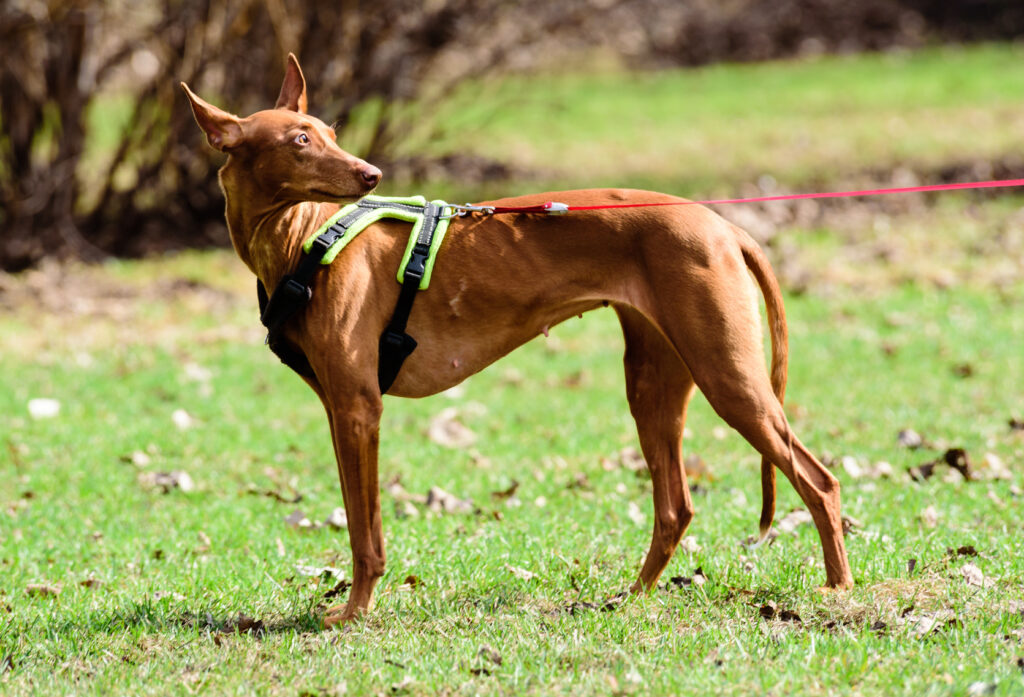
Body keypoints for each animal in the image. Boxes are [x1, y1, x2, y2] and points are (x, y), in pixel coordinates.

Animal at [184, 55, 856, 626]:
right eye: (300, 141)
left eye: (325, 130)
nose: (371, 173)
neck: (299, 239)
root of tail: (721, 222)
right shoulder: (338, 408)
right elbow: (357, 518)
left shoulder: (358, 407)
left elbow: (365, 532)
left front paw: (354, 613)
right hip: (653, 384)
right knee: (676, 507)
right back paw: (631, 597)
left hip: (729, 376)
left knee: (818, 480)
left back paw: (838, 589)